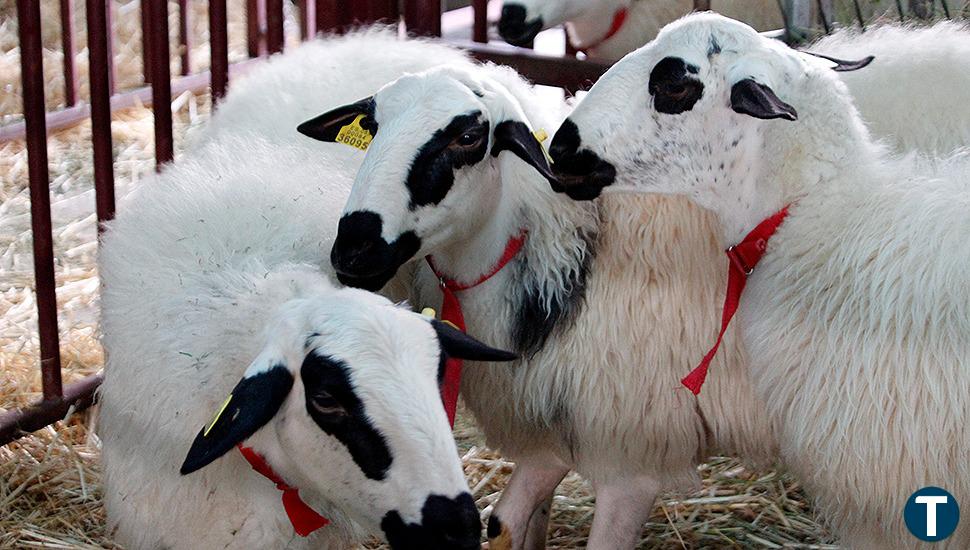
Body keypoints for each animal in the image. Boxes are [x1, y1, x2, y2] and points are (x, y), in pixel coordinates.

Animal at [298, 61, 776, 550]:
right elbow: (507, 520)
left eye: (468, 137)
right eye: (371, 126)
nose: (354, 250)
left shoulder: (632, 456)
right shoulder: (550, 423)